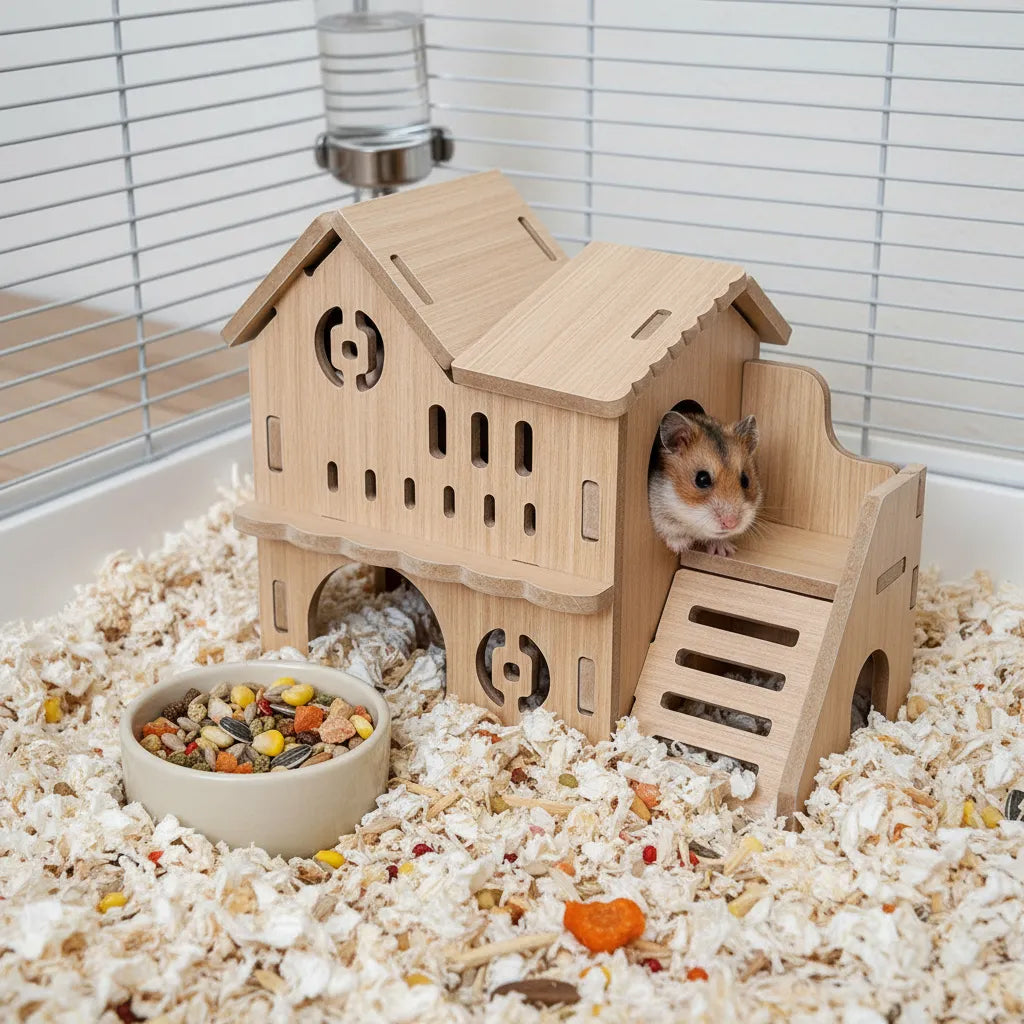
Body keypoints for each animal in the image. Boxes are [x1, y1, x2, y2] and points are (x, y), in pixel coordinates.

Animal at [648, 404, 762, 558]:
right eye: (702, 479)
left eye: (745, 480)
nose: (731, 524)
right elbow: (669, 529)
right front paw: (682, 546)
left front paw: (725, 551)